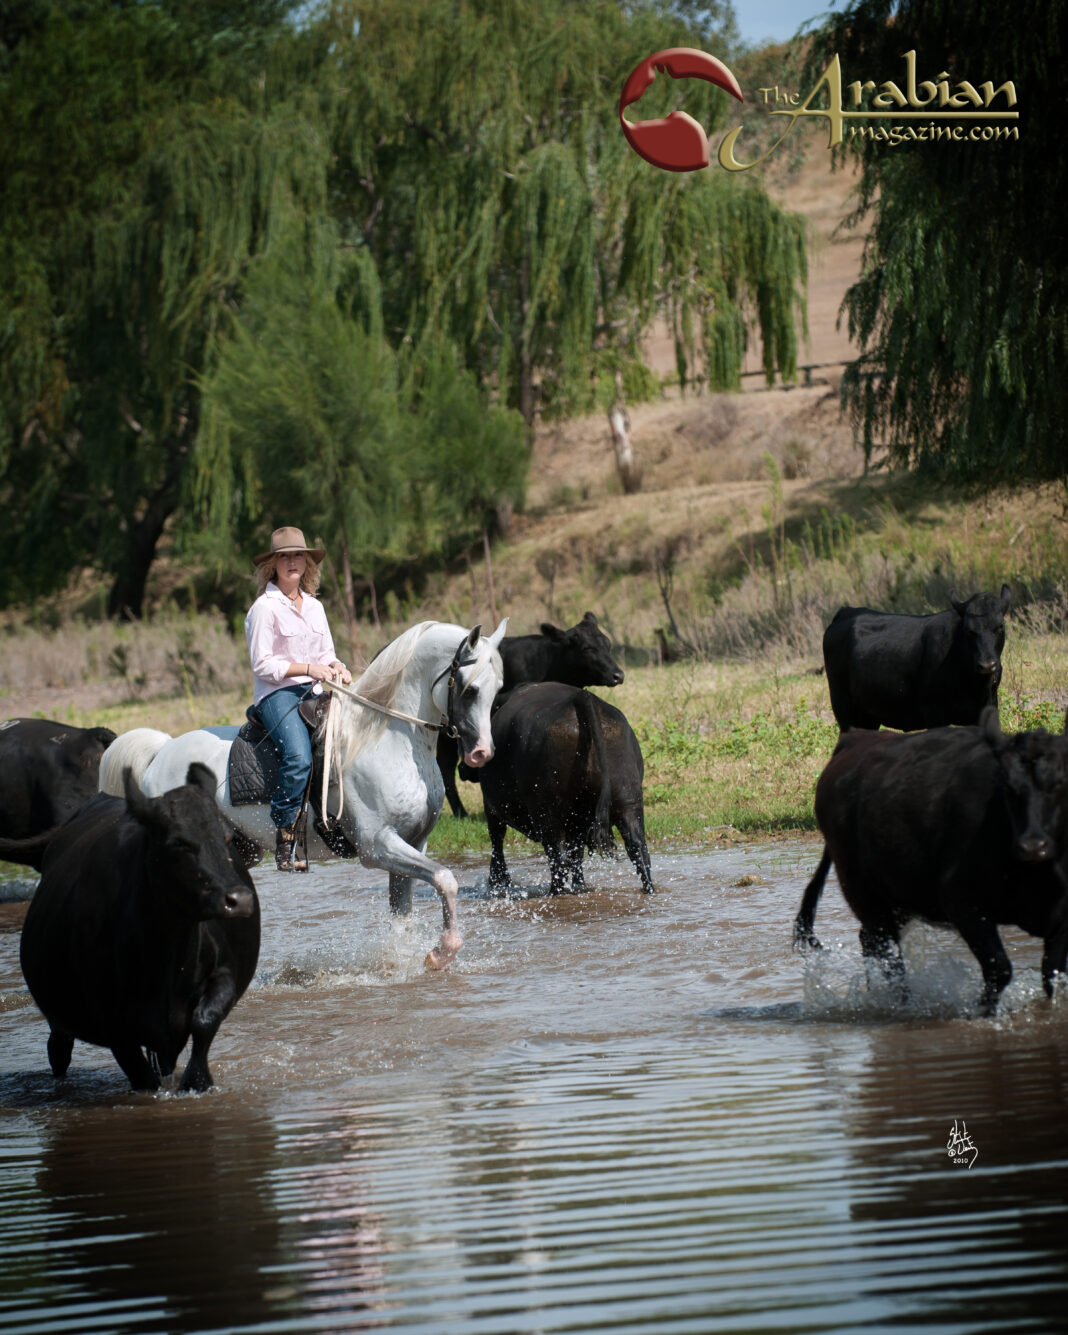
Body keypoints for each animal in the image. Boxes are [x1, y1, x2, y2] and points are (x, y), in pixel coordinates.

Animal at [16, 763, 260, 1092]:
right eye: (178, 842)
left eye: (226, 837)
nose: (239, 900)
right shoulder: (109, 1018)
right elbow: (142, 1076)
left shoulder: (224, 973)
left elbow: (205, 1021)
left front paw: (198, 1082)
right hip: (60, 1014)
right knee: (59, 1049)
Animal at [439, 612, 625, 818]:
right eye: (589, 649)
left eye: (607, 644)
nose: (618, 675)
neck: (547, 662)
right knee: (446, 767)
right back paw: (460, 812)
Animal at [473, 681, 654, 895]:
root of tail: (582, 698)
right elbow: (576, 852)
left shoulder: (491, 805)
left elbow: (496, 841)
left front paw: (498, 882)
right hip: (628, 800)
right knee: (637, 847)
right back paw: (647, 888)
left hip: (547, 812)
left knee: (556, 856)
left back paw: (554, 892)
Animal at [793, 709, 1068, 1015]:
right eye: (1008, 789)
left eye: (1061, 783)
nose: (1033, 845)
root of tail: (855, 739)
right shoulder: (961, 903)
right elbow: (999, 970)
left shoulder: (1062, 920)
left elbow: (1052, 976)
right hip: (861, 891)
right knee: (887, 954)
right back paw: (899, 1003)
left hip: (899, 897)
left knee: (871, 942)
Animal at [822, 585, 1011, 732]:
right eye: (969, 631)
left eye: (1000, 626)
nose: (987, 665)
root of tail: (848, 611)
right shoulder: (933, 712)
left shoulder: (988, 708)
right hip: (843, 708)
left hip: (868, 717)